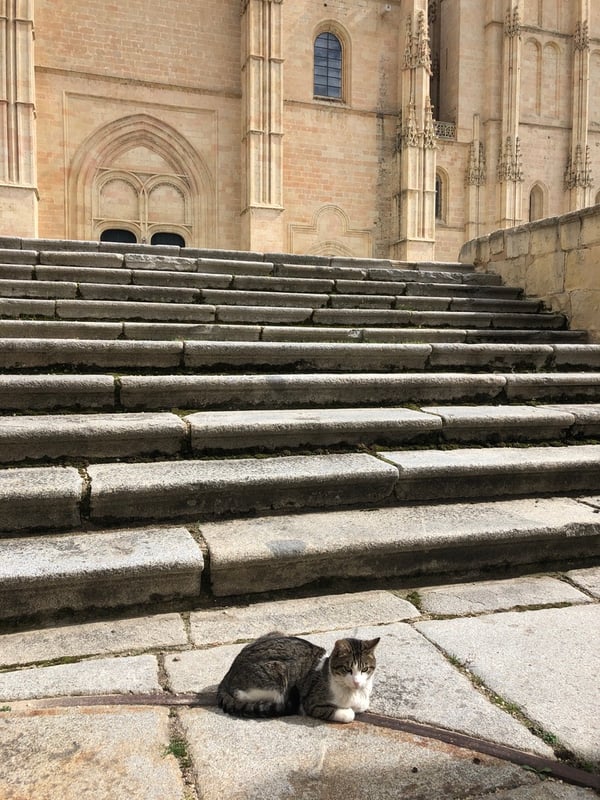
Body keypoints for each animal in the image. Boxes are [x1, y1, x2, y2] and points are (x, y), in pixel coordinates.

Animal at [216, 632, 380, 724]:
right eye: (347, 669)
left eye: (364, 669)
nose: (357, 682)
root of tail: (229, 673)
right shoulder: (312, 703)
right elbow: (349, 714)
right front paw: (347, 712)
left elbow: (361, 706)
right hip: (278, 677)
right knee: (241, 694)